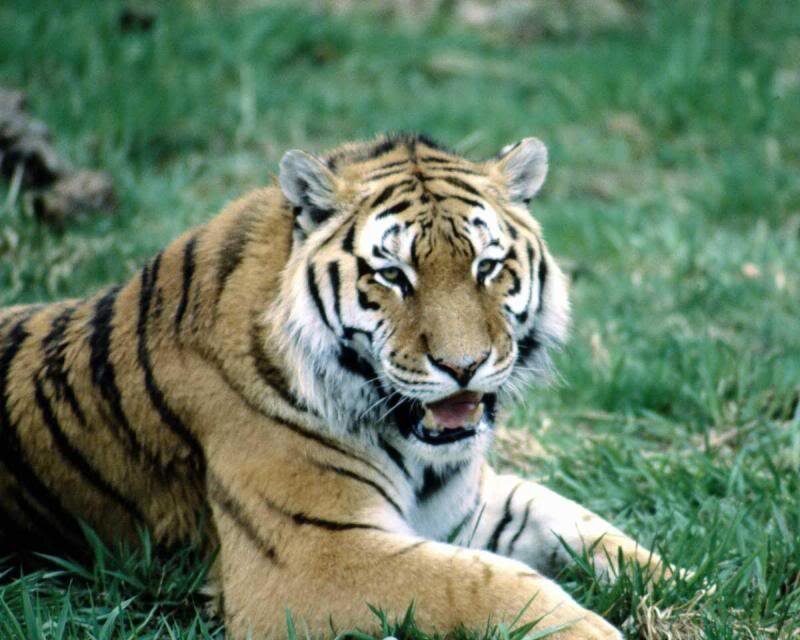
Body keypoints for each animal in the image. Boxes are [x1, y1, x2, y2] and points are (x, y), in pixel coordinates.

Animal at [0, 133, 673, 639]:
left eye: (487, 266)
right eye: (392, 275)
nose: (464, 365)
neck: (413, 452)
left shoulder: (465, 506)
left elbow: (587, 526)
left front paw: (682, 586)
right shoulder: (311, 557)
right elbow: (482, 583)